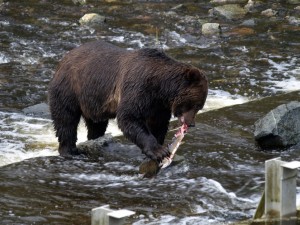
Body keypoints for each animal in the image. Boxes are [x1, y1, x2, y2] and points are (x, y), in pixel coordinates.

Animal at [48, 40, 209, 162]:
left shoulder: (158, 105)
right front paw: (159, 151)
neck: (160, 87)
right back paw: (69, 150)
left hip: (93, 100)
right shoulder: (138, 88)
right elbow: (129, 117)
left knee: (96, 125)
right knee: (66, 119)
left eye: (200, 107)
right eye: (195, 105)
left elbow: (158, 124)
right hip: (70, 88)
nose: (191, 123)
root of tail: (63, 59)